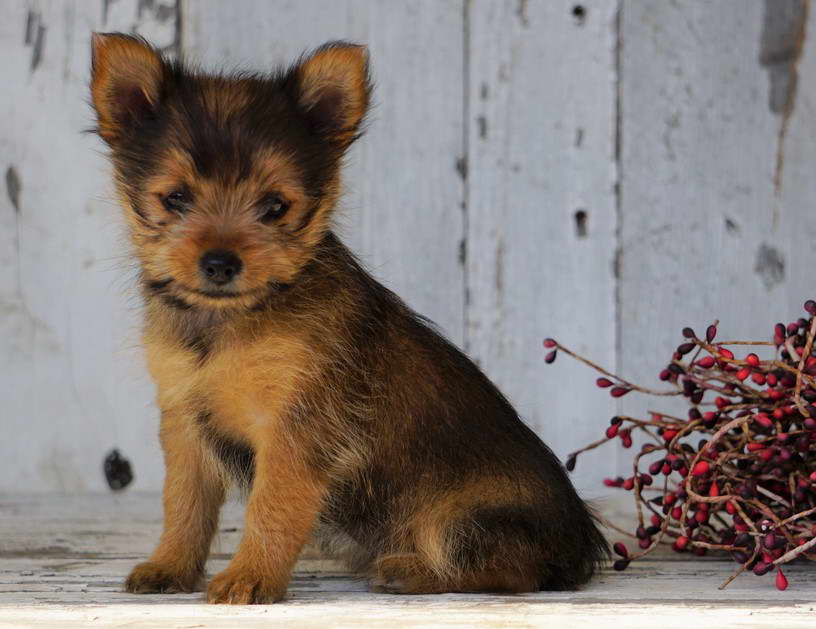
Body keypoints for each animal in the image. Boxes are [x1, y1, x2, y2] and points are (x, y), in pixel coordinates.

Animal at [91, 34, 604, 604]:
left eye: (275, 206)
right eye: (175, 198)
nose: (220, 263)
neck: (231, 319)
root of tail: (582, 545)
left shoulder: (296, 431)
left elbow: (271, 508)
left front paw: (250, 577)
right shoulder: (186, 421)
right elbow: (184, 503)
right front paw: (170, 566)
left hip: (463, 519)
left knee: (510, 569)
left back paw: (410, 569)